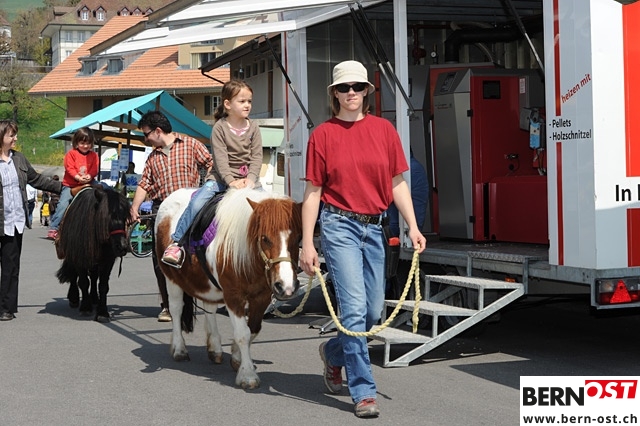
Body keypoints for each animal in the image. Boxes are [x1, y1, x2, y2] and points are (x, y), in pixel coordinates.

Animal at [55, 186, 131, 323]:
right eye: (107, 217)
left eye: (125, 217)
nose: (122, 247)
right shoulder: (80, 257)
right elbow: (84, 282)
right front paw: (85, 307)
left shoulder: (107, 260)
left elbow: (103, 285)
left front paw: (102, 312)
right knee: (74, 276)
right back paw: (74, 298)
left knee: (94, 276)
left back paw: (94, 298)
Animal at [155, 187, 302, 389]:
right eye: (264, 238)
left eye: (298, 238)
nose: (286, 286)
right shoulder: (234, 297)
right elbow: (242, 333)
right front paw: (247, 375)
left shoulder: (262, 297)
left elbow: (253, 329)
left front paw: (237, 358)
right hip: (172, 279)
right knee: (177, 309)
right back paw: (179, 349)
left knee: (209, 308)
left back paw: (215, 349)